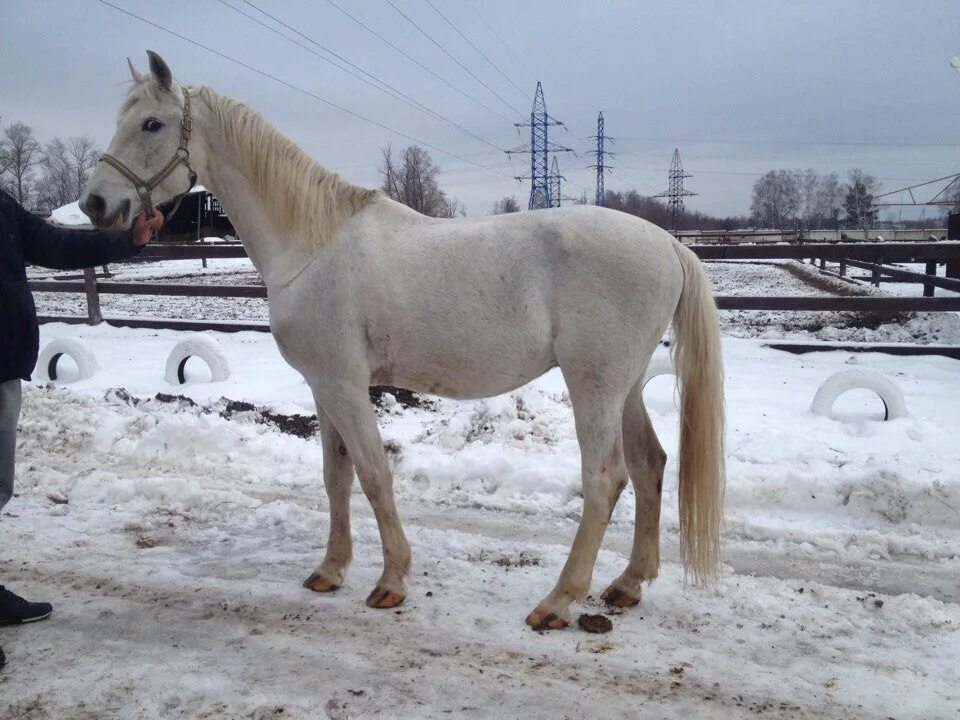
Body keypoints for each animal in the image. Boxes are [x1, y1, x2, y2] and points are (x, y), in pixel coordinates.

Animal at [82, 53, 724, 632]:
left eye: (152, 124)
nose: (95, 204)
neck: (313, 244)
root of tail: (668, 244)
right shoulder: (323, 387)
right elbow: (335, 477)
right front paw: (330, 570)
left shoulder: (345, 385)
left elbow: (373, 475)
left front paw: (391, 581)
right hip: (626, 387)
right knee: (649, 464)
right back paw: (628, 585)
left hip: (594, 385)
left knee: (606, 479)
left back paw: (557, 601)